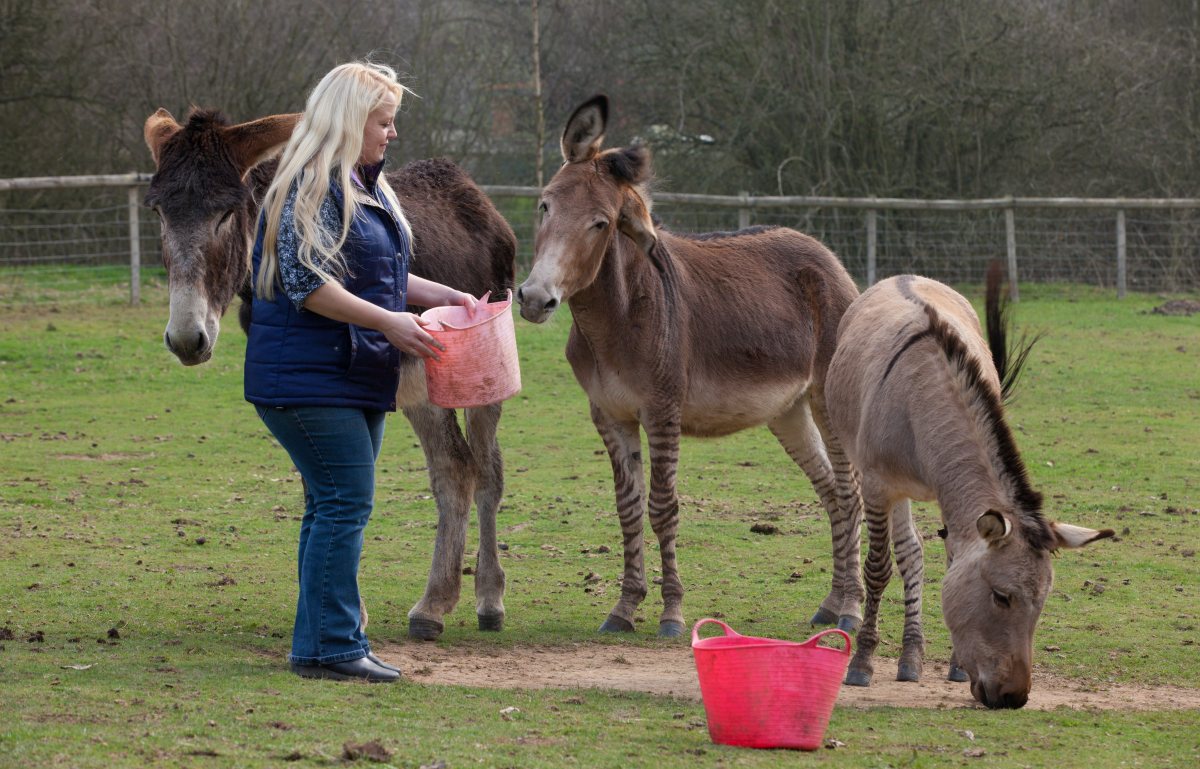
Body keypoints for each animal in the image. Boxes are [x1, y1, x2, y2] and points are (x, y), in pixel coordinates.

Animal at [516, 95, 864, 633]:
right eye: (545, 205)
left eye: (601, 223)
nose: (535, 299)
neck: (616, 319)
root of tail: (824, 253)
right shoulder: (609, 415)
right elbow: (627, 508)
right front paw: (624, 607)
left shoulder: (663, 411)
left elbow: (663, 507)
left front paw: (672, 611)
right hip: (787, 409)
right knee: (829, 488)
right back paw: (831, 602)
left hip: (827, 397)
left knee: (849, 492)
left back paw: (850, 610)